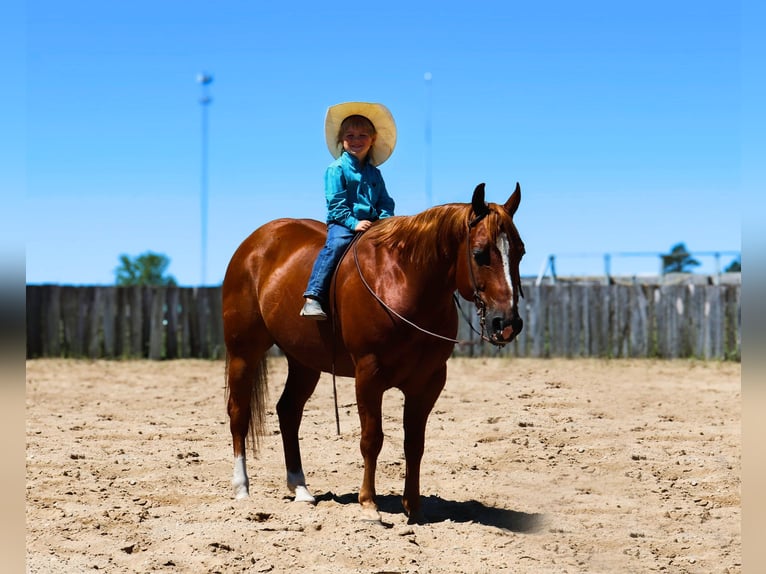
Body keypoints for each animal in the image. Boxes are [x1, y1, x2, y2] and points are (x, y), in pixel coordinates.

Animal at [219, 182, 524, 524]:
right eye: (480, 254)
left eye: (520, 252)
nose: (507, 323)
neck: (403, 282)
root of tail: (254, 244)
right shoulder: (368, 375)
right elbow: (371, 439)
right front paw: (368, 505)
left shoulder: (428, 382)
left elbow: (414, 443)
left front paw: (413, 506)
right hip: (244, 351)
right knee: (239, 412)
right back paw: (242, 488)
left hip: (303, 362)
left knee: (288, 412)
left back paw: (301, 489)